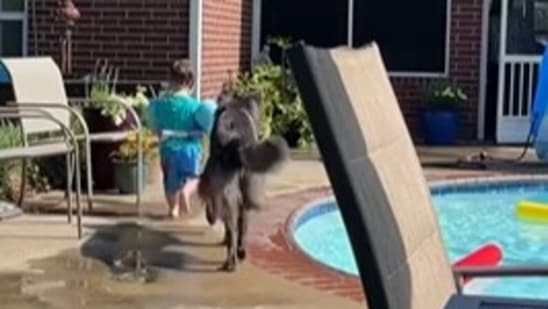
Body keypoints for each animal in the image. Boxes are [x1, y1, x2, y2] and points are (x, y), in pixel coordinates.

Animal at [198, 90, 292, 270]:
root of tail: (237, 141)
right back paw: (238, 255)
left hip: (228, 195)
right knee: (240, 228)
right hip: (248, 191)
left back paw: (231, 261)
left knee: (231, 228)